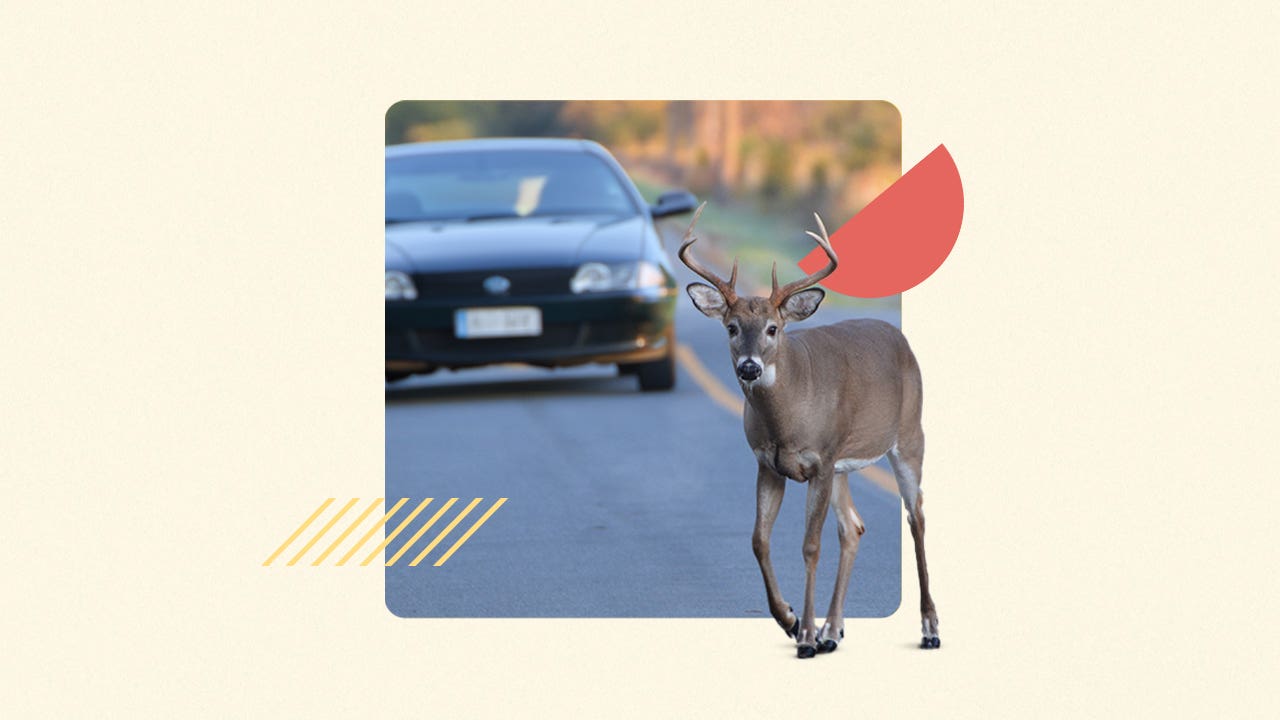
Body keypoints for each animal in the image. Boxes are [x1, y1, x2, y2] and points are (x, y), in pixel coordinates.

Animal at [680, 202, 942, 655]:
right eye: (731, 327)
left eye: (773, 328)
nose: (749, 367)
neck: (786, 421)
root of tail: (901, 340)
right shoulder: (770, 464)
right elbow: (759, 540)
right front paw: (790, 620)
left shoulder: (819, 459)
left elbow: (810, 545)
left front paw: (803, 636)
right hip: (843, 464)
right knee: (853, 527)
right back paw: (833, 631)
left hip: (909, 436)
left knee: (917, 516)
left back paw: (929, 628)